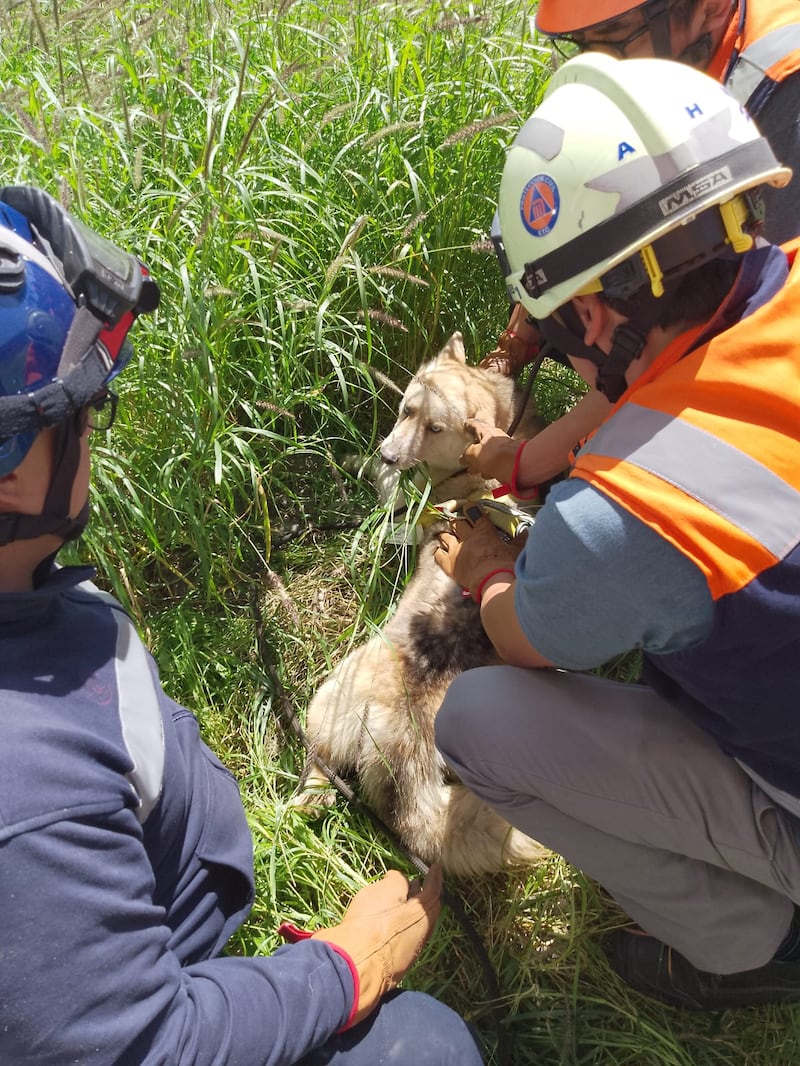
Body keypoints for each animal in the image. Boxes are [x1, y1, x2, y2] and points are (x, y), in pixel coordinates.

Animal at [294, 330, 550, 874]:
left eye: (434, 428)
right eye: (406, 410)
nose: (391, 452)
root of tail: (398, 744)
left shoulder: (400, 492)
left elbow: (377, 476)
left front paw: (352, 458)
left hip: (326, 697)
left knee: (316, 777)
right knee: (321, 793)